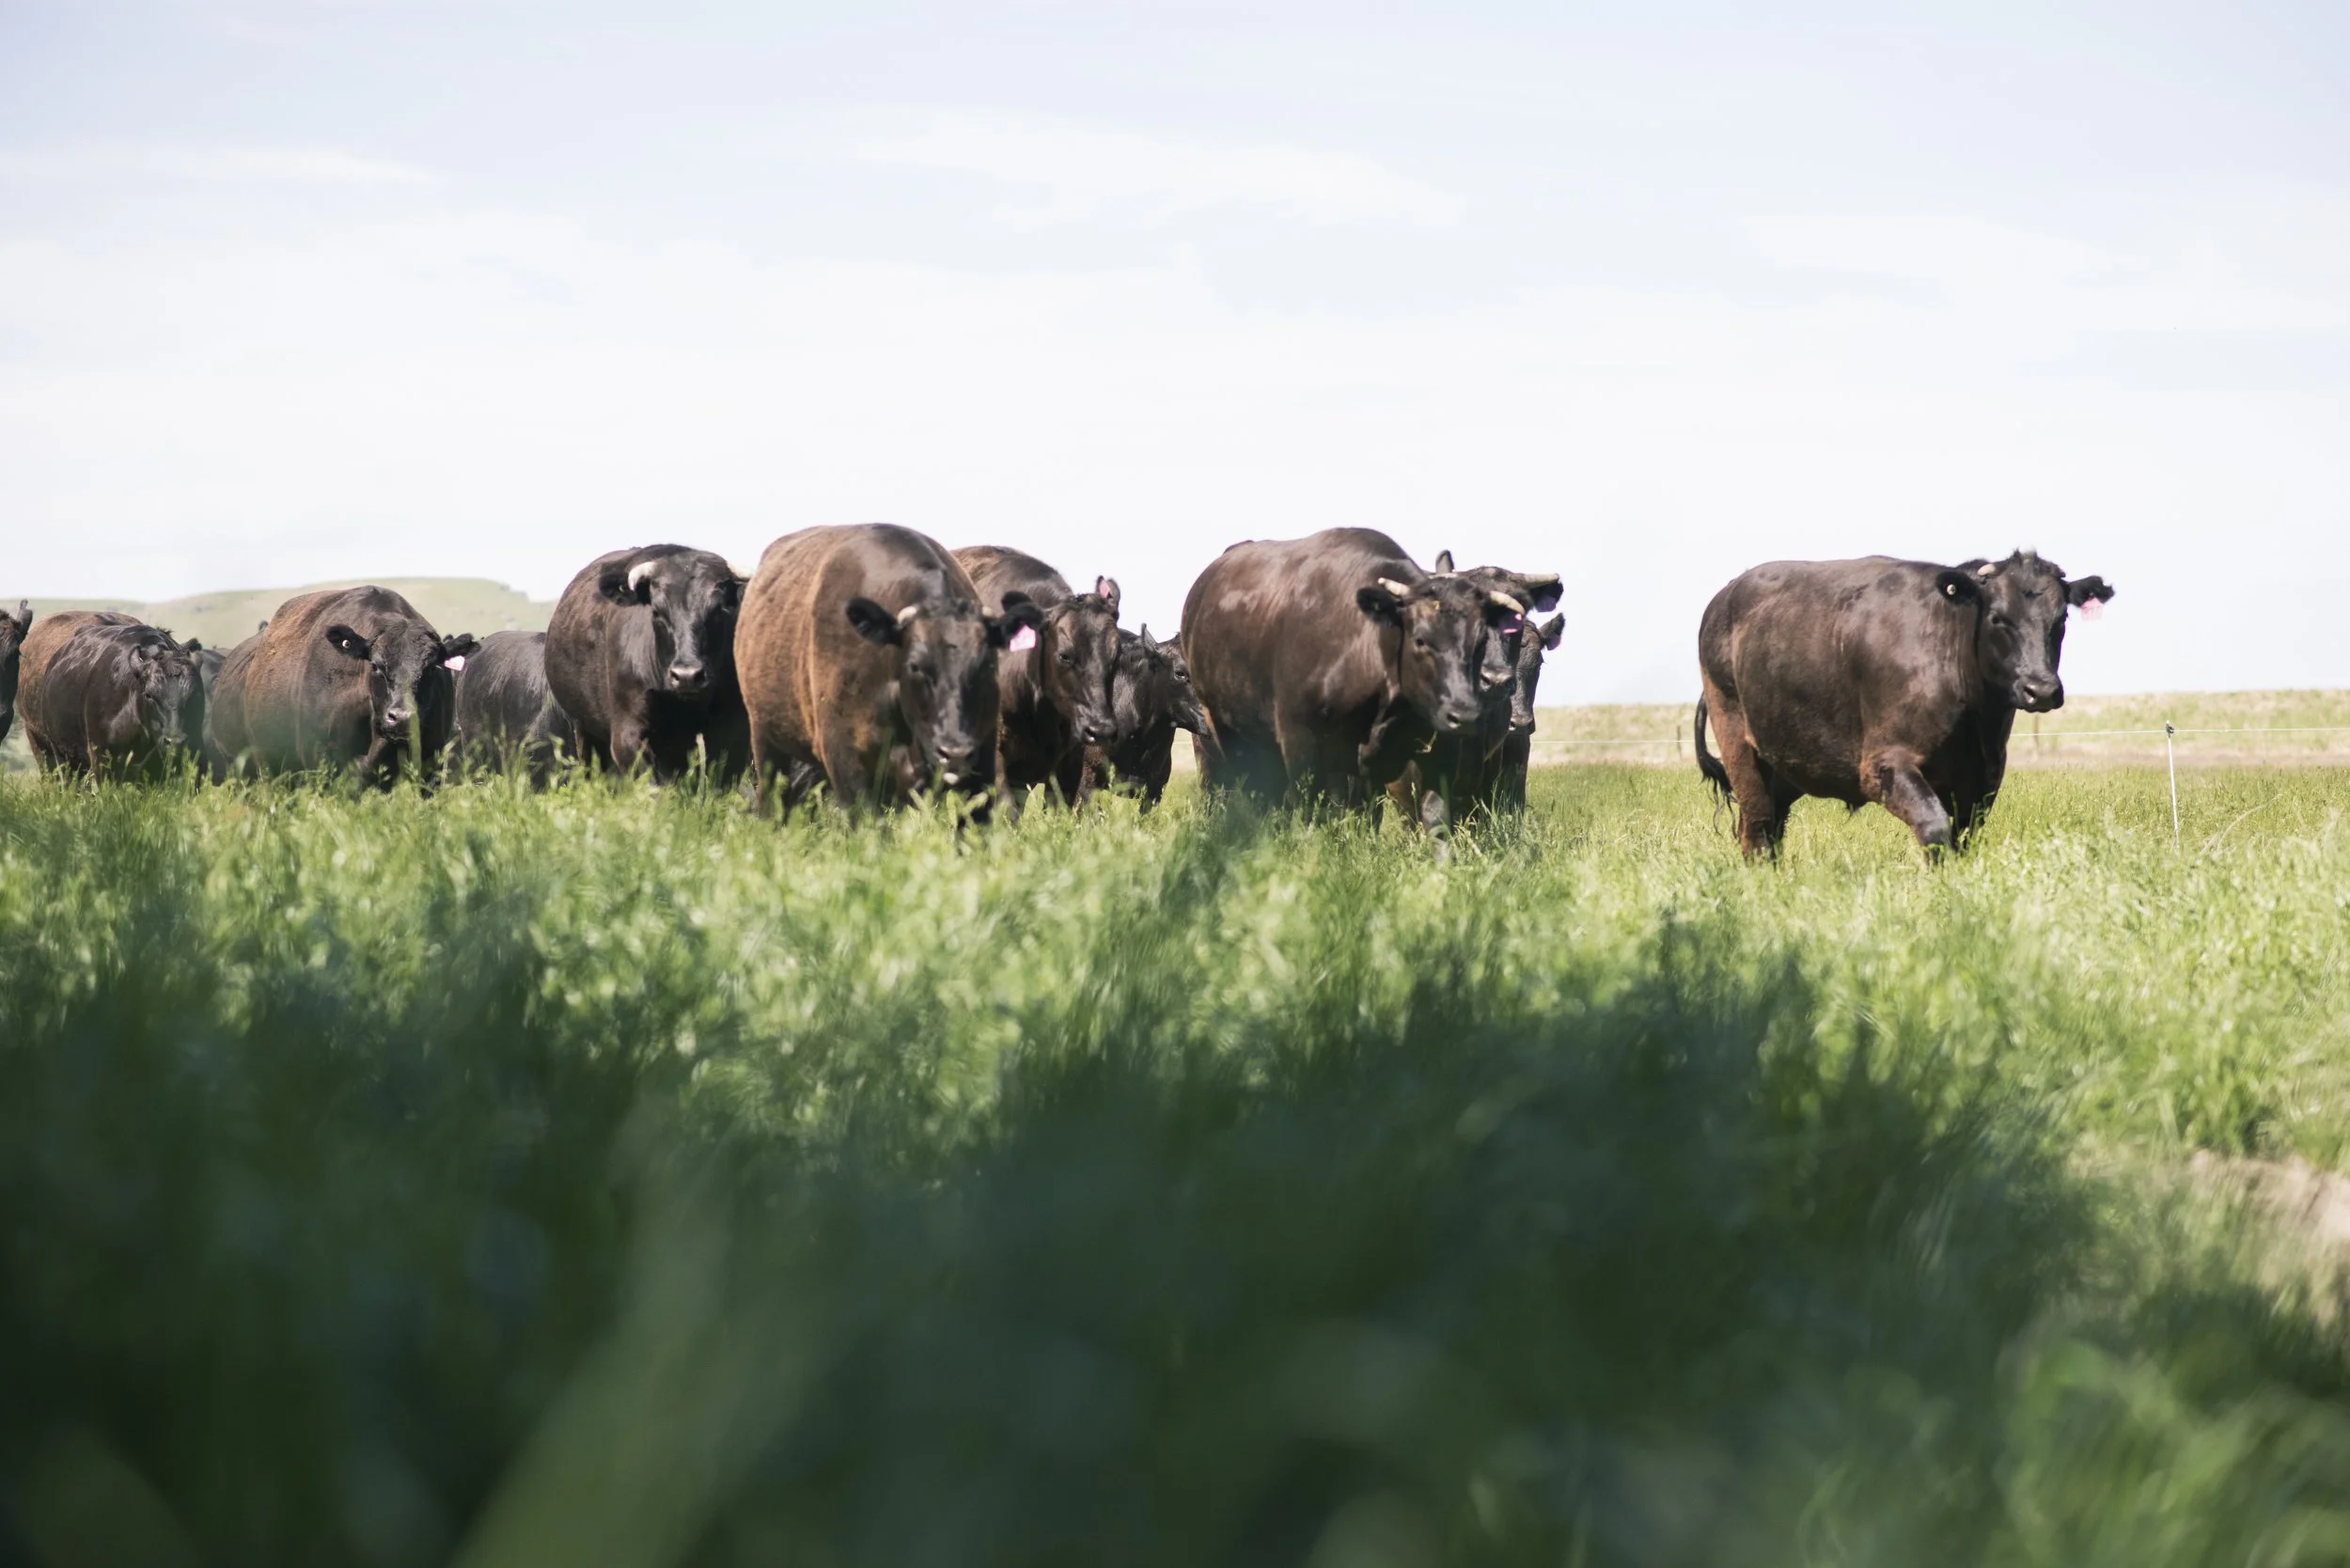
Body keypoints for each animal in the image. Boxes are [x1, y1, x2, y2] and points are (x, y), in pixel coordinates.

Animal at [736, 524, 1042, 818]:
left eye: (988, 665)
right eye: (915, 666)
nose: (953, 752)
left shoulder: (984, 757)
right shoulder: (846, 761)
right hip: (765, 741)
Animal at [1181, 529, 1528, 810]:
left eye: (1480, 640)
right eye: (1419, 639)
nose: (1464, 715)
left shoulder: (1435, 753)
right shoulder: (1299, 740)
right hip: (1227, 729)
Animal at [1695, 551, 2114, 857]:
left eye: (2061, 619)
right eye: (1997, 618)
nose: (2040, 689)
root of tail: (1724, 596)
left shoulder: (1982, 777)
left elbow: (1962, 839)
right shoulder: (1885, 763)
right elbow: (1935, 829)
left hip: (1788, 762)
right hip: (1738, 744)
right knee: (1758, 830)